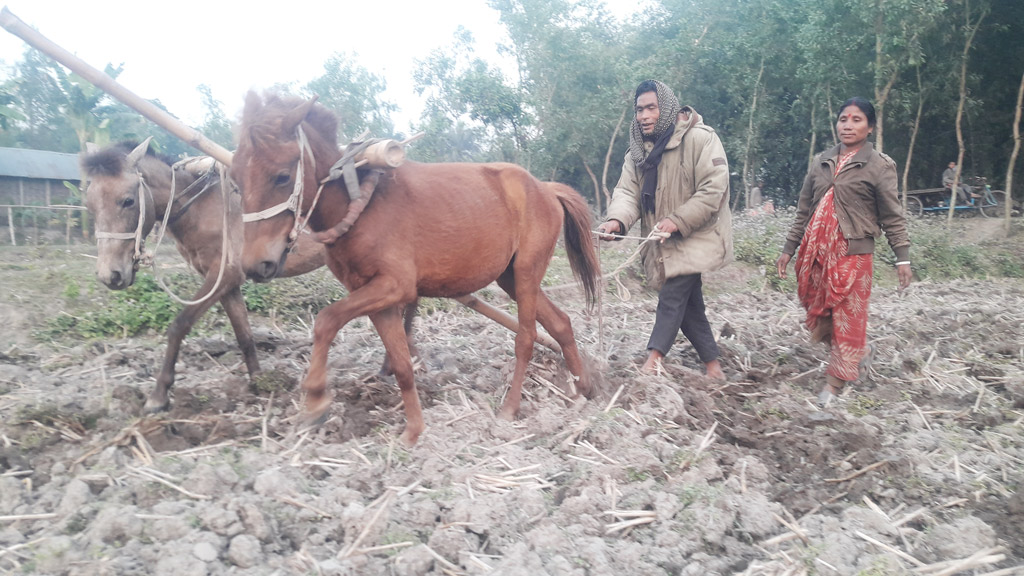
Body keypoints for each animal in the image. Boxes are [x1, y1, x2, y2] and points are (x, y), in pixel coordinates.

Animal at [81, 139, 325, 412]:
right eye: (89, 205)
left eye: (128, 201)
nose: (110, 275)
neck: (201, 208)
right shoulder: (228, 284)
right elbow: (244, 335)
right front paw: (259, 383)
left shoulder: (223, 275)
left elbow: (178, 326)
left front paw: (159, 395)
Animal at [232, 91, 598, 446]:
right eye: (235, 180)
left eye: (282, 176)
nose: (256, 264)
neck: (358, 205)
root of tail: (545, 188)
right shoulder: (376, 296)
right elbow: (402, 364)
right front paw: (413, 431)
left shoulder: (395, 286)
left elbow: (325, 321)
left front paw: (315, 402)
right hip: (511, 277)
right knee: (561, 323)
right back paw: (585, 389)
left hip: (526, 274)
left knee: (526, 337)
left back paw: (510, 407)